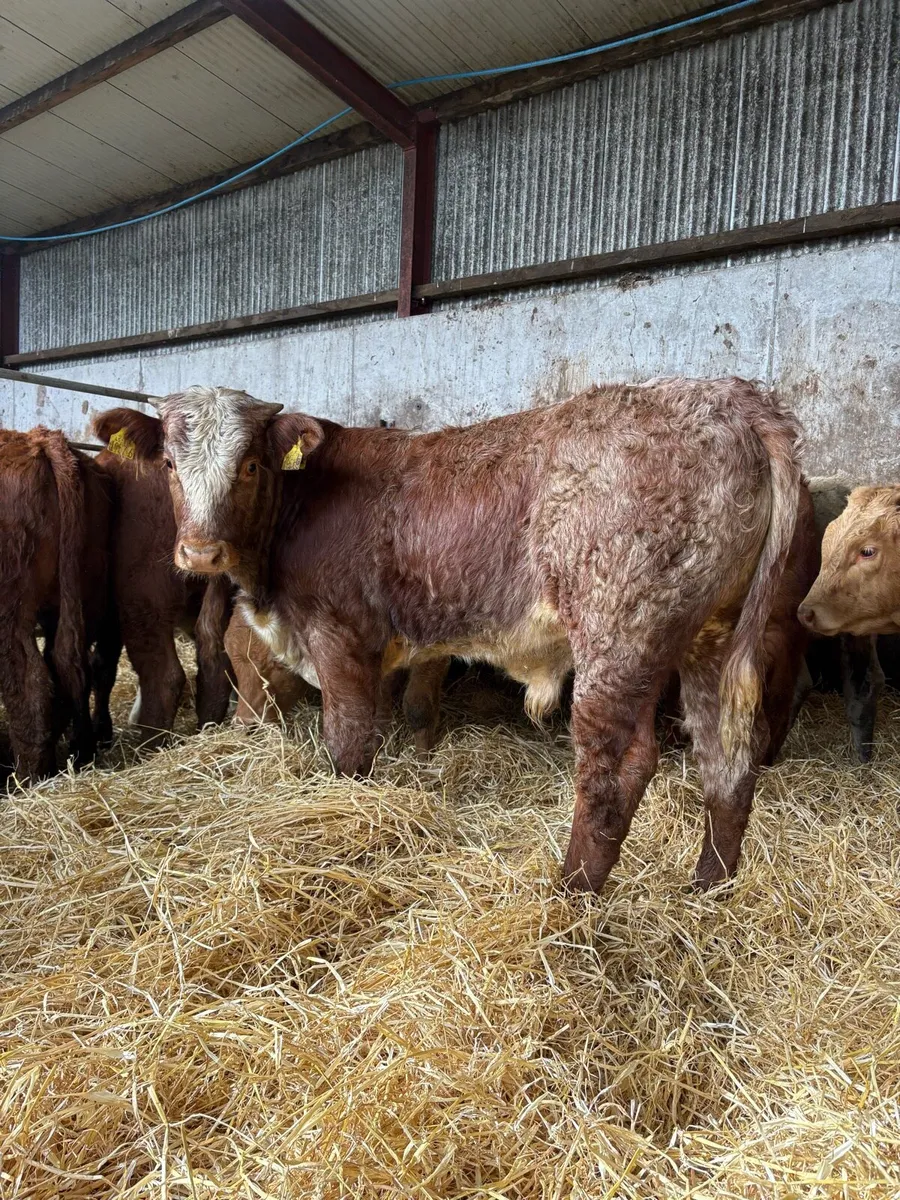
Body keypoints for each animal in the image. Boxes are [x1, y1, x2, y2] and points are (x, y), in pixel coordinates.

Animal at [0, 427, 113, 781]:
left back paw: (26, 778)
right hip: (78, 599)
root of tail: (42, 442)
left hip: (11, 615)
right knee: (67, 666)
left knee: (29, 682)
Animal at [89, 452, 233, 748]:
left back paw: (150, 746)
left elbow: (102, 668)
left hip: (143, 600)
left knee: (164, 676)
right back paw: (207, 731)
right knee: (214, 661)